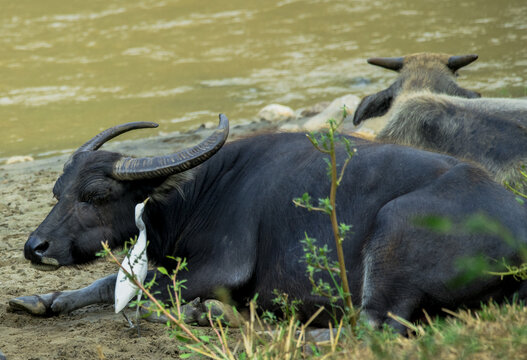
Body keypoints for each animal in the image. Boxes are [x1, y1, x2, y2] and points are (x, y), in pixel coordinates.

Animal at [8, 114, 527, 332]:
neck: (200, 193)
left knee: (374, 323)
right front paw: (40, 301)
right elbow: (107, 283)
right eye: (57, 191)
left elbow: (145, 289)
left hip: (394, 230)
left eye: (97, 195)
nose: (35, 247)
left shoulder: (222, 267)